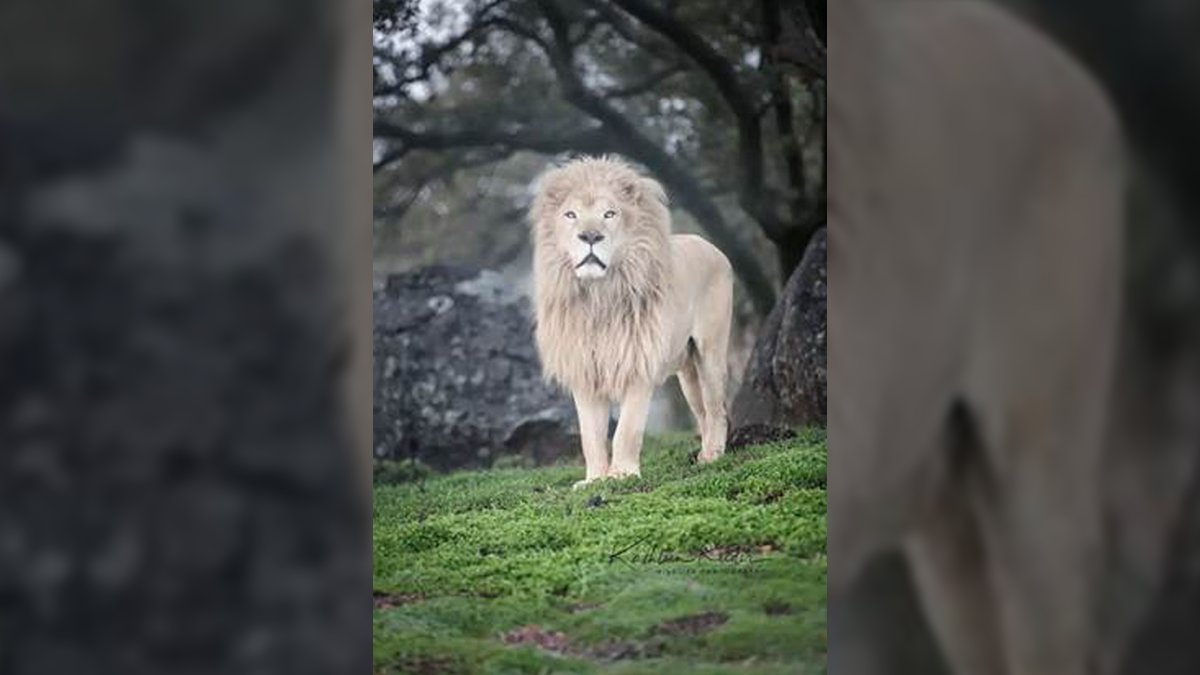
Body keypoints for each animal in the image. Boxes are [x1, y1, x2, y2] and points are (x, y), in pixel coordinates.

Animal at [529, 155, 734, 488]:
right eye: (570, 215)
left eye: (609, 214)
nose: (590, 236)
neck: (598, 297)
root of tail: (710, 245)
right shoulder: (585, 372)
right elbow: (591, 435)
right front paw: (595, 480)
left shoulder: (639, 365)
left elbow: (627, 430)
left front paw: (622, 475)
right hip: (687, 370)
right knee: (702, 410)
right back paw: (702, 453)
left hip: (710, 353)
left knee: (718, 409)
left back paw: (713, 456)